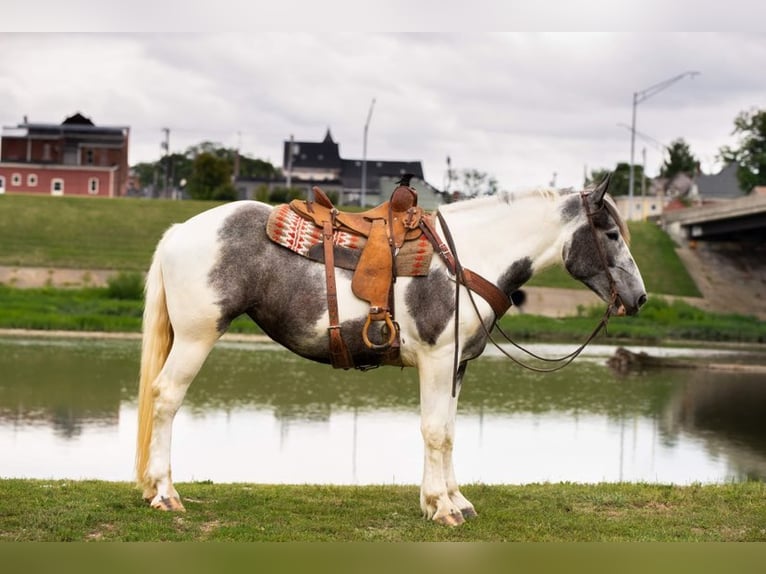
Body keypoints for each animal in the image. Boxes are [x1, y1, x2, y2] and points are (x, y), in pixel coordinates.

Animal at [136, 176, 648, 528]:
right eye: (611, 234)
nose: (640, 298)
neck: (466, 261)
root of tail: (180, 231)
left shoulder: (457, 366)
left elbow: (448, 432)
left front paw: (454, 500)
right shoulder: (437, 361)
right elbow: (435, 432)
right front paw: (441, 508)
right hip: (197, 337)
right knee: (165, 399)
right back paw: (164, 494)